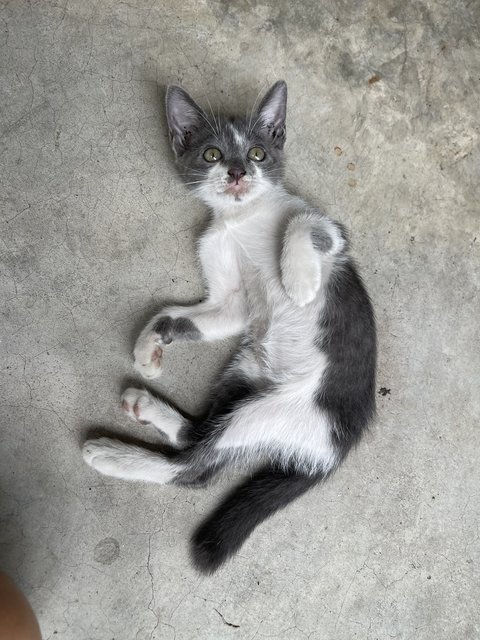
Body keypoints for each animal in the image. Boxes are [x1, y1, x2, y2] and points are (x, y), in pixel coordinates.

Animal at [82, 81, 376, 576]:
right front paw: (148, 348)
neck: (240, 221)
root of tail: (337, 449)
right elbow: (171, 314)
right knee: (197, 437)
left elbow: (303, 223)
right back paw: (143, 410)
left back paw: (111, 453)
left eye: (258, 153)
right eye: (213, 154)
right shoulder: (232, 302)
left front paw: (298, 280)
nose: (238, 172)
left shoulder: (333, 233)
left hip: (276, 410)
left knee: (194, 467)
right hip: (245, 370)